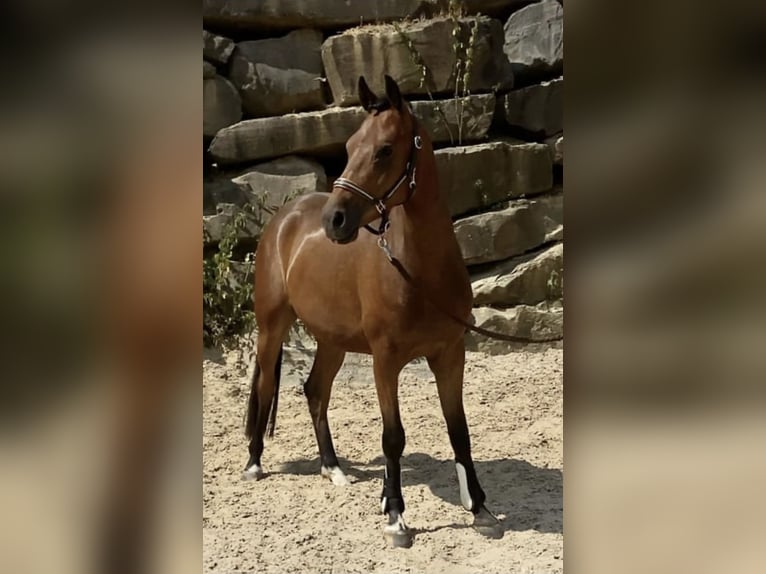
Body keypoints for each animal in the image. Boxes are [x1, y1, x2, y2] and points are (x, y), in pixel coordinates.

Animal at [243, 76, 500, 548]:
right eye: (348, 146)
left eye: (384, 150)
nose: (334, 220)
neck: (419, 273)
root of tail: (286, 218)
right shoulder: (386, 361)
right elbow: (393, 437)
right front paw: (395, 516)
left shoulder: (450, 355)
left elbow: (459, 429)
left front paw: (480, 509)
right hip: (272, 327)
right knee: (267, 385)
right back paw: (254, 463)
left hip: (332, 340)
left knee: (315, 391)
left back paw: (333, 469)